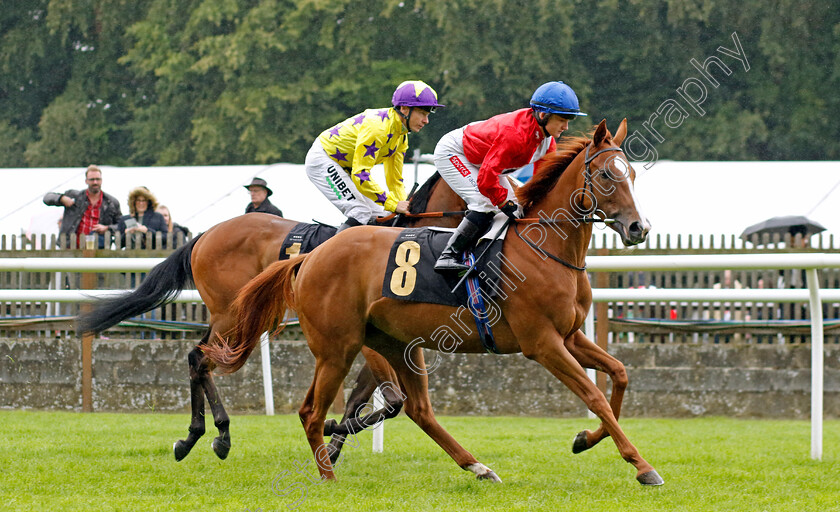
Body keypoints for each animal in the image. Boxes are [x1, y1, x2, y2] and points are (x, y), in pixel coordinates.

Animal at [75, 172, 462, 464]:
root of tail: (206, 234)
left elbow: (364, 400)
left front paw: (332, 442)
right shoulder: (368, 341)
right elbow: (391, 400)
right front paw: (331, 434)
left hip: (234, 317)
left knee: (201, 359)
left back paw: (199, 436)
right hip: (230, 313)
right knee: (200, 358)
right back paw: (210, 434)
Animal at [212, 118, 664, 486]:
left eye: (632, 174)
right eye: (606, 174)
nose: (638, 228)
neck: (545, 248)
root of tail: (309, 257)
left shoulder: (569, 336)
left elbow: (619, 376)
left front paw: (585, 439)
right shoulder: (542, 343)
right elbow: (594, 396)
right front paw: (642, 466)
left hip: (397, 344)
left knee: (418, 409)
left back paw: (478, 467)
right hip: (336, 348)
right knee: (310, 411)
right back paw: (326, 476)